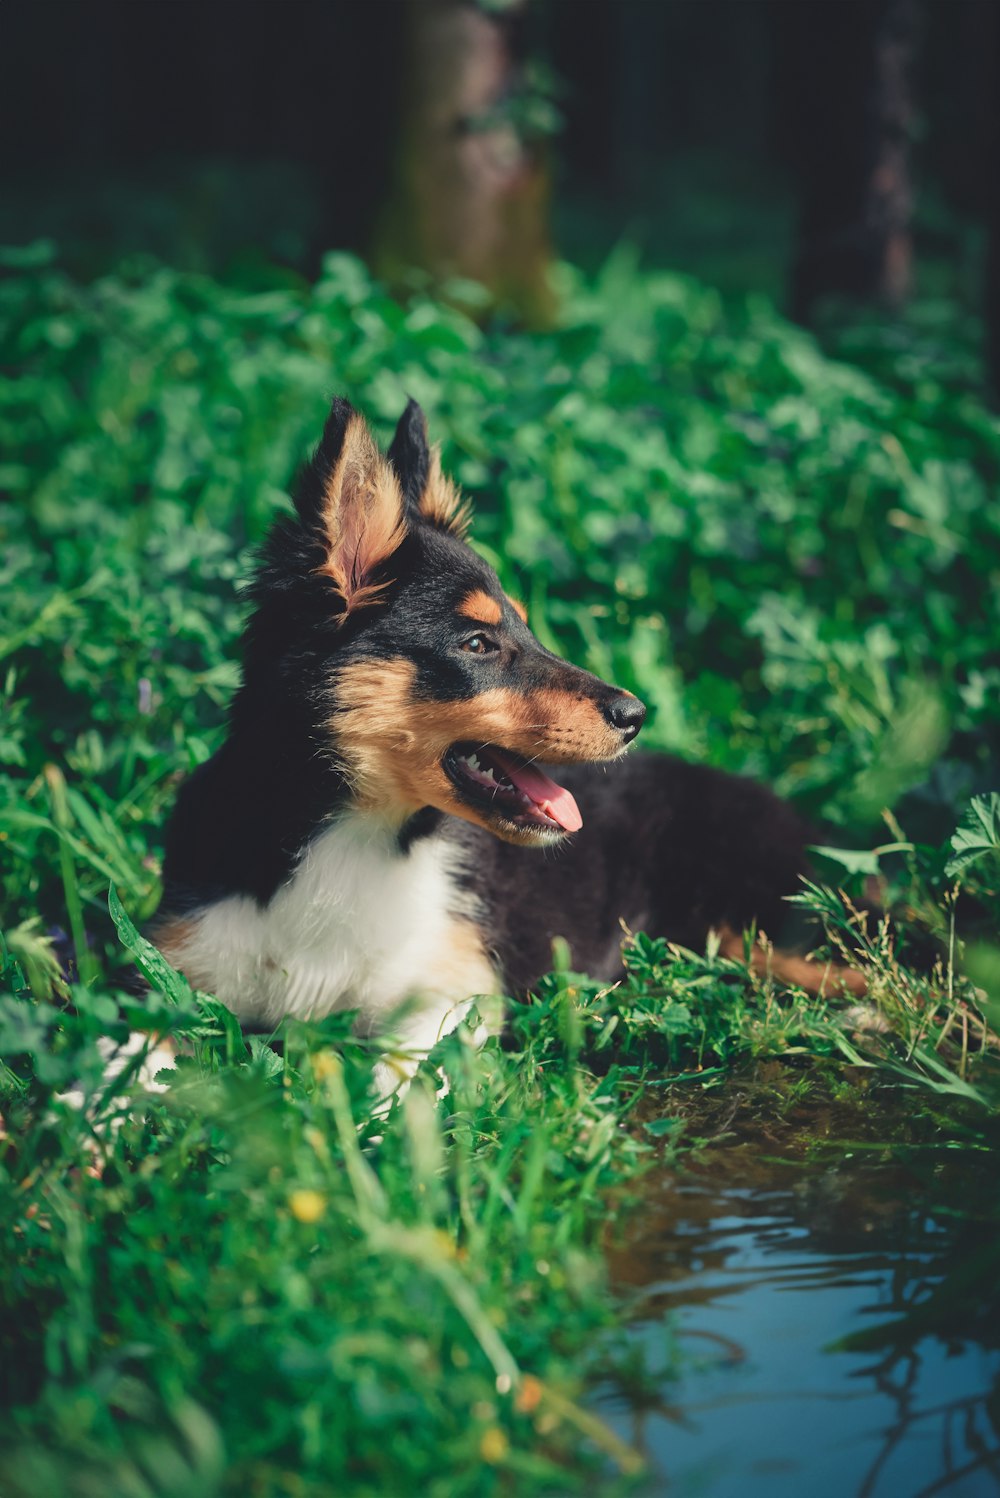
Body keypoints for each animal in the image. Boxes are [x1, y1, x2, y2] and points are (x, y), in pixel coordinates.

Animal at [148, 392, 868, 1084]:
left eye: (526, 628)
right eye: (478, 644)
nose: (636, 715)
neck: (348, 837)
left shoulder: (454, 989)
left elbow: (399, 1080)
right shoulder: (169, 967)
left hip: (763, 928)